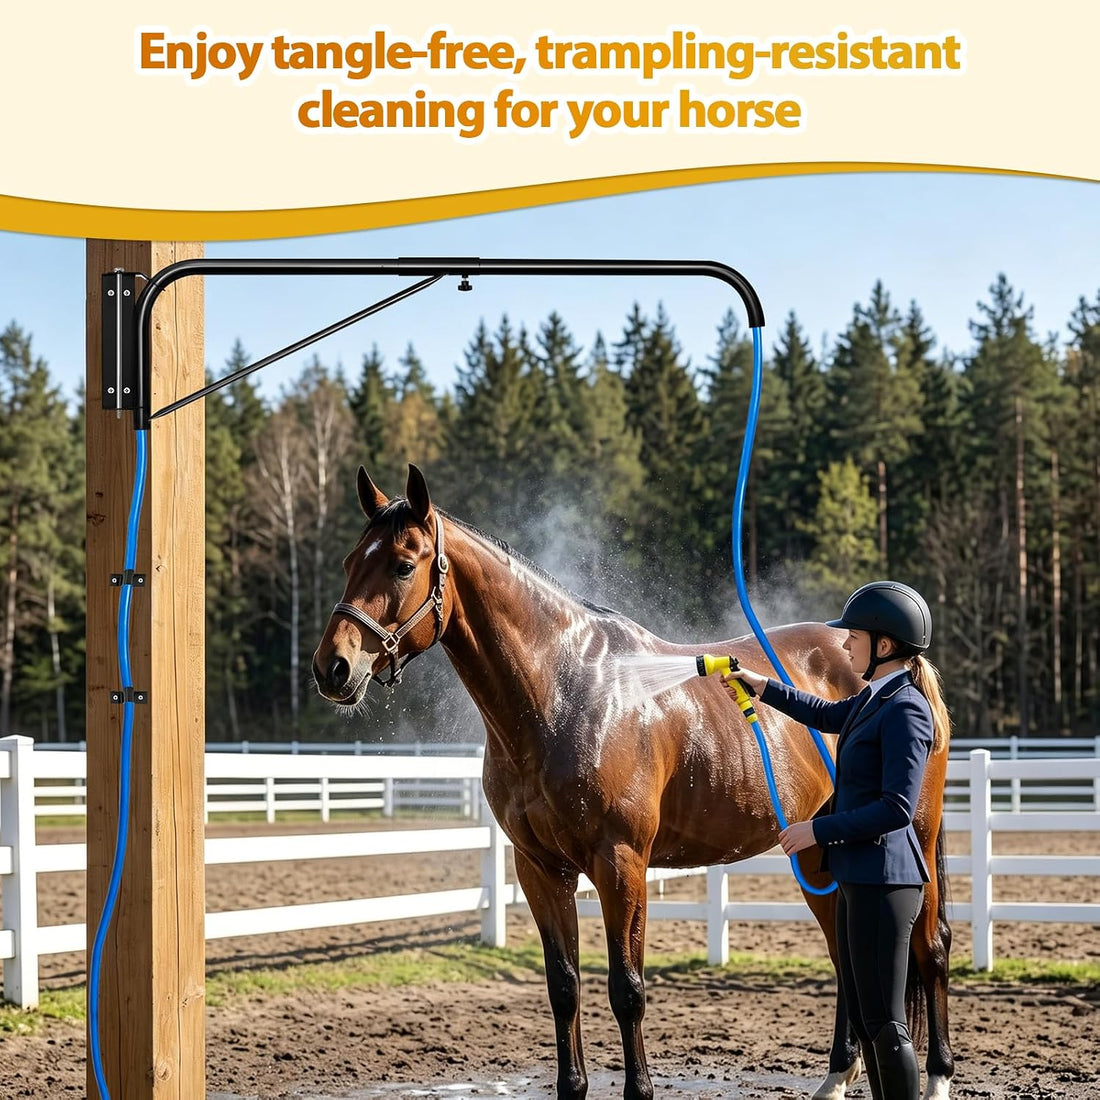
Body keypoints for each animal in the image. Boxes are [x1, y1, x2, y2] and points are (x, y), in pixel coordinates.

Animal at [312, 464, 954, 1100]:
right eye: (347, 561)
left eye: (403, 564)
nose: (332, 668)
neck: (565, 693)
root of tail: (906, 671)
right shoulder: (540, 868)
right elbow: (564, 985)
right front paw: (572, 1086)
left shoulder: (621, 863)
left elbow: (627, 988)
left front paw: (638, 1089)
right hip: (818, 852)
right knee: (846, 957)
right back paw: (838, 1075)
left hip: (912, 838)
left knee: (929, 948)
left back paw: (938, 1077)